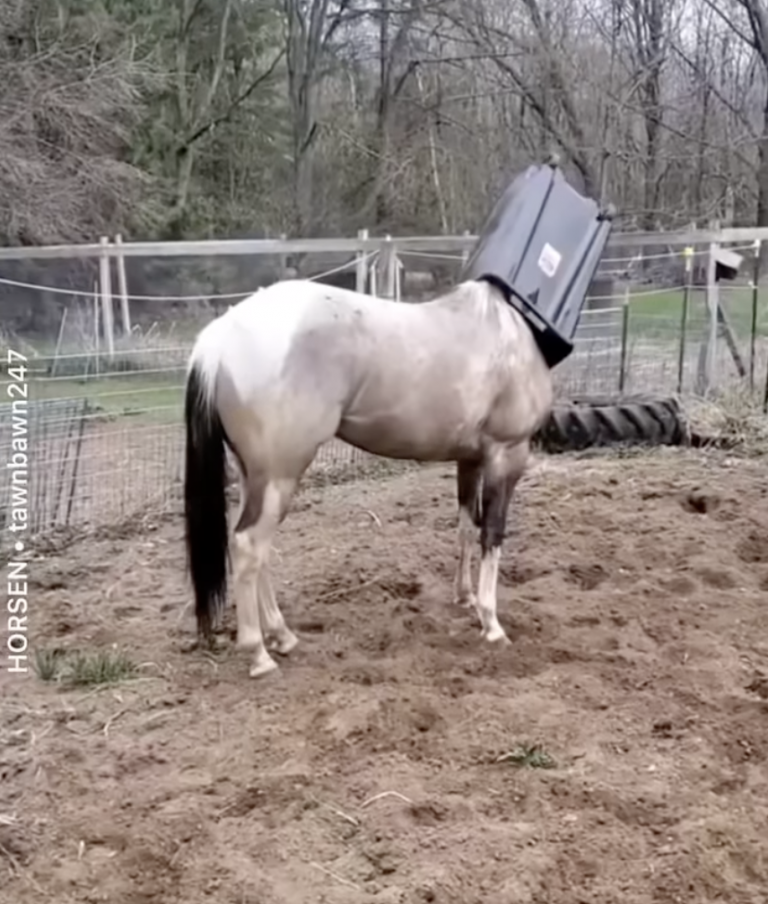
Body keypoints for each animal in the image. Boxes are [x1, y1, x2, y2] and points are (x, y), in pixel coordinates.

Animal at [183, 277, 554, 678]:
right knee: (249, 545)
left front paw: (465, 597)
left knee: (255, 547)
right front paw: (492, 625)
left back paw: (282, 636)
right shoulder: (507, 455)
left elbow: (467, 528)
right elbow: (492, 535)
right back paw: (259, 655)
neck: (509, 327)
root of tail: (220, 337)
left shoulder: (469, 460)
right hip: (279, 477)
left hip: (255, 477)